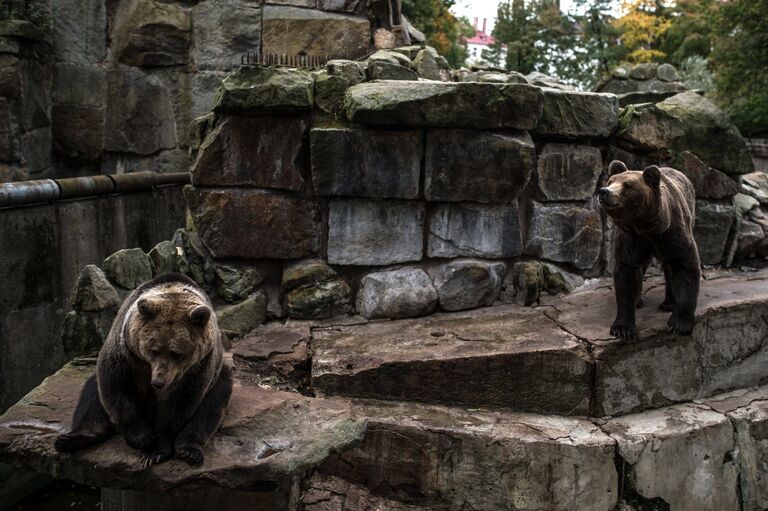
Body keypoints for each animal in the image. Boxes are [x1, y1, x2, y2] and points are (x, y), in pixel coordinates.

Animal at [54, 274, 231, 466]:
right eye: (154, 350)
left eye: (177, 353)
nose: (158, 382)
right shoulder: (125, 354)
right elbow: (117, 389)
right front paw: (143, 439)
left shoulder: (196, 367)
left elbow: (179, 404)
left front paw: (155, 451)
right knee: (91, 399)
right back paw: (70, 440)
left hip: (218, 378)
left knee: (211, 407)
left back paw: (189, 451)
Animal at [600, 161, 704, 340]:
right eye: (610, 181)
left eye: (627, 185)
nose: (604, 192)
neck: (644, 226)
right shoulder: (631, 239)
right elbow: (626, 273)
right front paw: (622, 328)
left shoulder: (672, 233)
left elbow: (685, 267)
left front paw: (679, 324)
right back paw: (638, 300)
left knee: (669, 268)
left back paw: (669, 303)